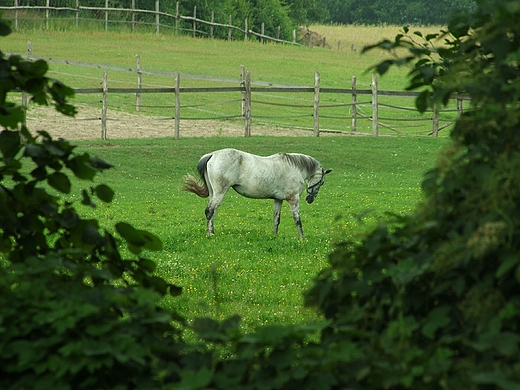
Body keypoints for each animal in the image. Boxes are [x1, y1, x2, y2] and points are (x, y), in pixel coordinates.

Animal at [183, 147, 332, 236]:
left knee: (211, 212)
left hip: (213, 193)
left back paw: (212, 231)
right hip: (220, 192)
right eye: (322, 182)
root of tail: (213, 155)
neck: (295, 168)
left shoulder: (278, 200)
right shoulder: (293, 199)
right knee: (210, 211)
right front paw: (302, 238)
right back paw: (210, 234)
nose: (310, 199)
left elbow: (276, 219)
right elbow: (297, 220)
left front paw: (275, 236)